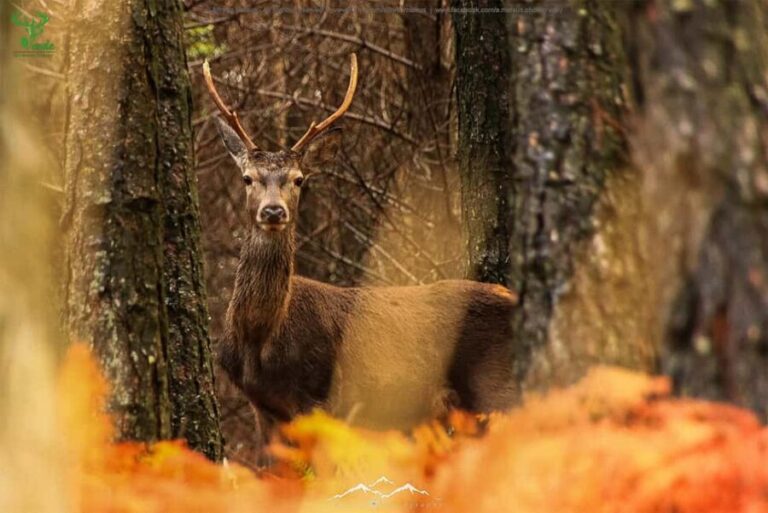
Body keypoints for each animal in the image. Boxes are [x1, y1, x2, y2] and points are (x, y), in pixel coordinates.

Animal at [203, 54, 520, 447]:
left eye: (298, 179)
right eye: (248, 178)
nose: (274, 211)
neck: (260, 337)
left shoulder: (318, 395)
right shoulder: (263, 408)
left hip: (497, 388)